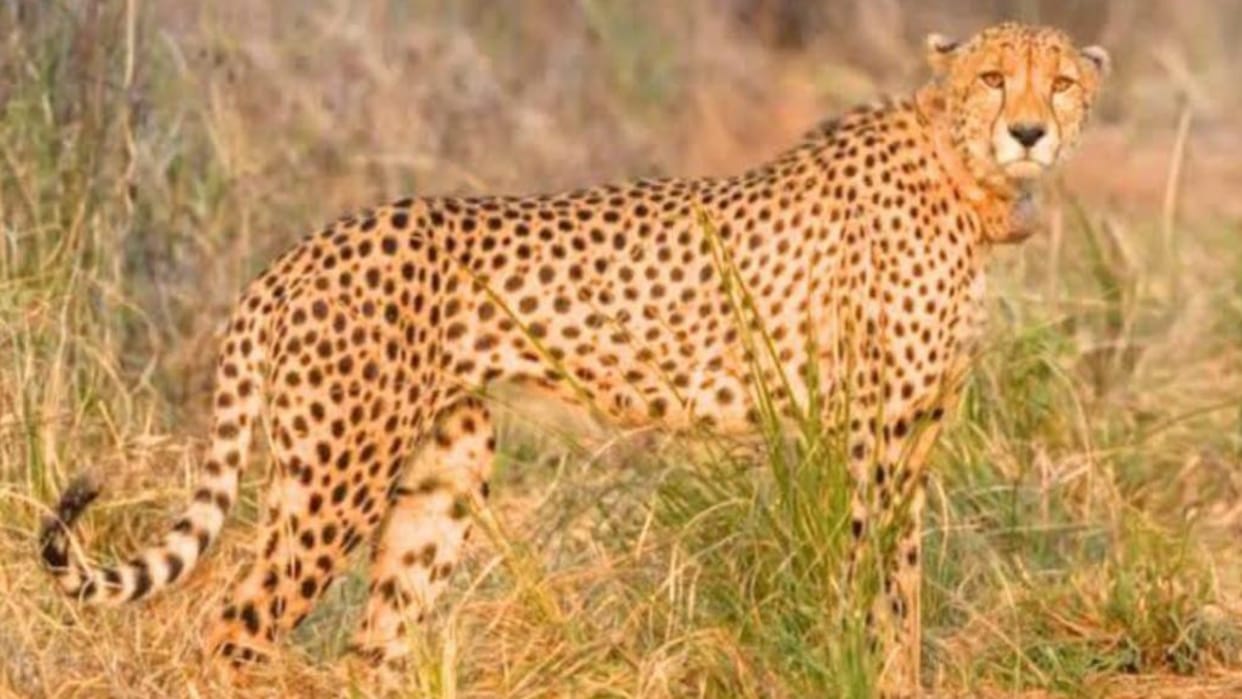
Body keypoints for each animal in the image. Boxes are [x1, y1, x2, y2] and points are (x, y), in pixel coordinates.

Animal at [39, 22, 1108, 692]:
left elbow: (907, 584)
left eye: (1060, 82)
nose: (1029, 130)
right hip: (334, 475)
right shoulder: (873, 433)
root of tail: (304, 248)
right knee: (238, 625)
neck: (965, 171)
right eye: (993, 79)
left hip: (445, 471)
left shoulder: (915, 431)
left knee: (373, 643)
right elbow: (872, 577)